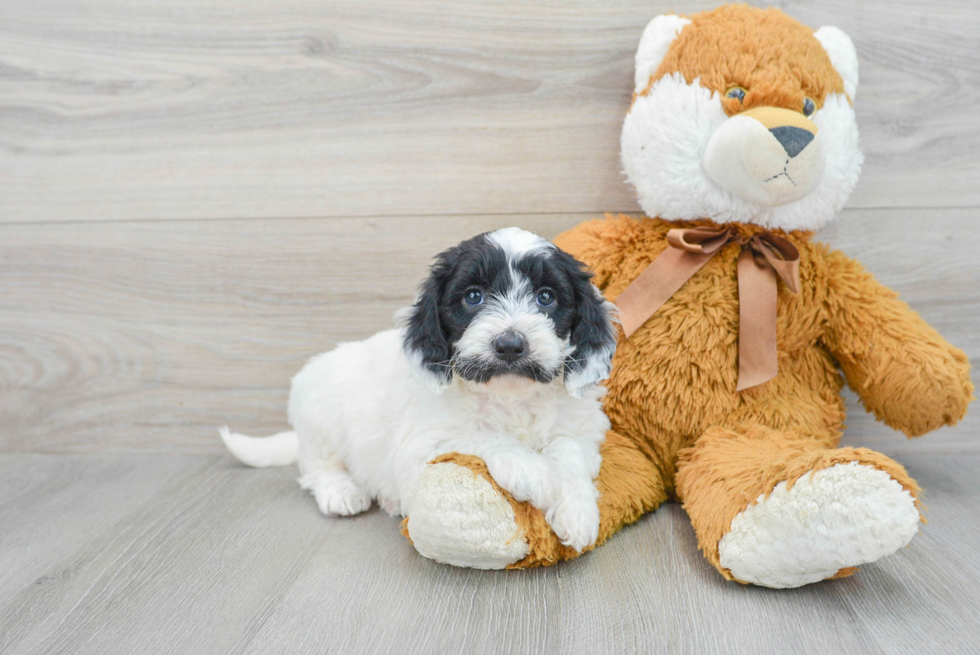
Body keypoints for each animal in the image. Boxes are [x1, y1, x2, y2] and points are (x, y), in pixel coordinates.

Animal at [224, 228, 620, 552]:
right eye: (473, 296)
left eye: (546, 298)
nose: (509, 345)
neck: (509, 396)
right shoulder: (420, 447)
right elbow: (479, 436)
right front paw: (537, 474)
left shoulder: (581, 428)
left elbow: (569, 449)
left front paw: (578, 511)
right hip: (318, 411)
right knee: (317, 467)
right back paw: (342, 491)